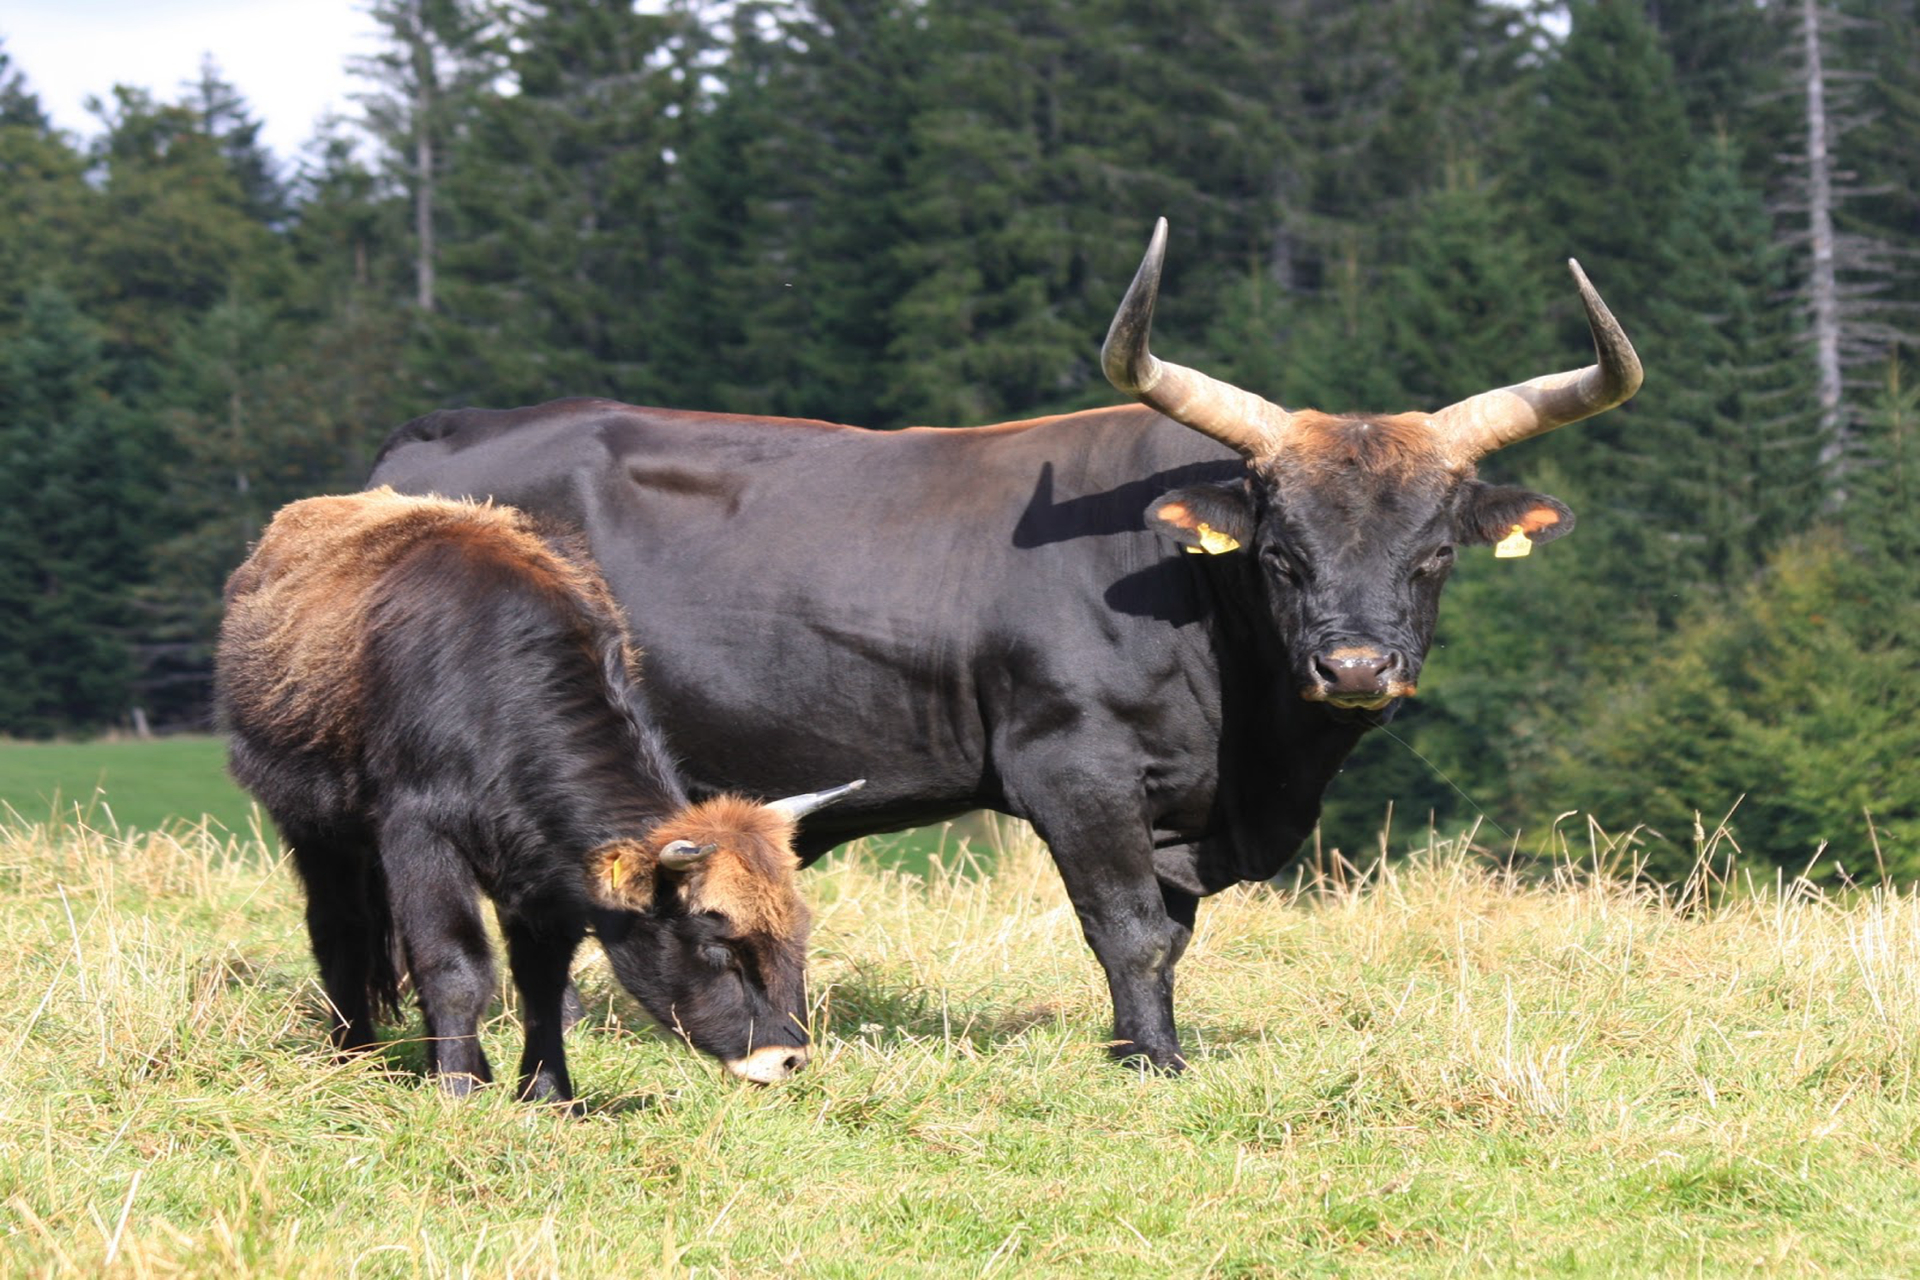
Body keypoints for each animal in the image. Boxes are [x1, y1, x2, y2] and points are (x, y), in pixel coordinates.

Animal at [212, 491, 864, 1105]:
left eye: (798, 932)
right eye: (715, 946)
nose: (787, 1057)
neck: (493, 689)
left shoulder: (543, 868)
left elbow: (542, 979)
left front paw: (548, 1093)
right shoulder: (421, 836)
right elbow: (453, 965)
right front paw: (459, 1091)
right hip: (313, 826)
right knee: (339, 928)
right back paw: (354, 1054)